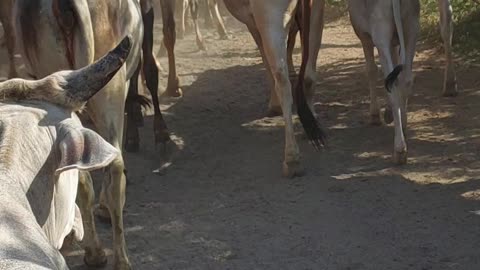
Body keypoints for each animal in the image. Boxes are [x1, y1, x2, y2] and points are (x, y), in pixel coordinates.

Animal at [223, 0, 324, 177]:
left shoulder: (254, 22)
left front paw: (274, 105)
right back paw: (311, 119)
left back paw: (291, 159)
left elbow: (265, 59)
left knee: (282, 81)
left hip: (271, 16)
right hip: (316, 12)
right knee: (308, 76)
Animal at [344, 0, 420, 165]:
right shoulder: (395, 42)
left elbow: (371, 70)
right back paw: (403, 128)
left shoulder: (365, 37)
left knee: (392, 85)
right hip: (412, 30)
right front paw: (388, 113)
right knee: (404, 79)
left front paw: (375, 115)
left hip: (381, 36)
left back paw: (399, 150)